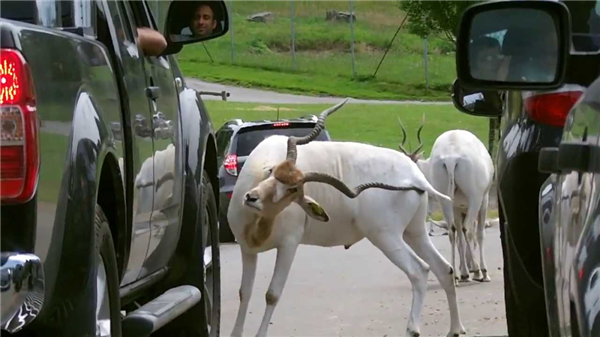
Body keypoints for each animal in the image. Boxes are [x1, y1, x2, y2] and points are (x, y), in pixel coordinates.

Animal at [227, 100, 466, 336]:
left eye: (292, 190)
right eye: (273, 172)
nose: (252, 197)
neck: (257, 224)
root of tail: (417, 177)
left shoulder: (288, 246)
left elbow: (272, 294)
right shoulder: (247, 249)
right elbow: (244, 292)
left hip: (386, 237)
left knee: (419, 270)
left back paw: (413, 329)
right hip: (414, 232)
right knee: (444, 269)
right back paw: (455, 329)